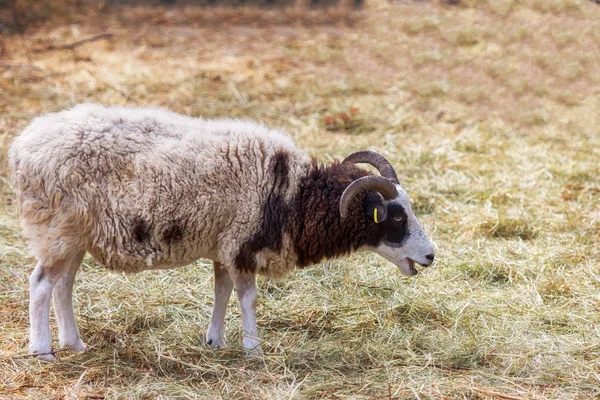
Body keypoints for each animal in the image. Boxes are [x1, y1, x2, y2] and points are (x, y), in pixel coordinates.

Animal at [9, 103, 436, 360]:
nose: (431, 256)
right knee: (40, 284)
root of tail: (22, 147)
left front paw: (215, 341)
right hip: (56, 230)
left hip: (74, 237)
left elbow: (223, 290)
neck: (293, 194)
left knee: (63, 285)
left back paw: (76, 344)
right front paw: (253, 347)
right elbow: (247, 297)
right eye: (396, 217)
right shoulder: (242, 242)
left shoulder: (224, 246)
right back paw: (43, 349)